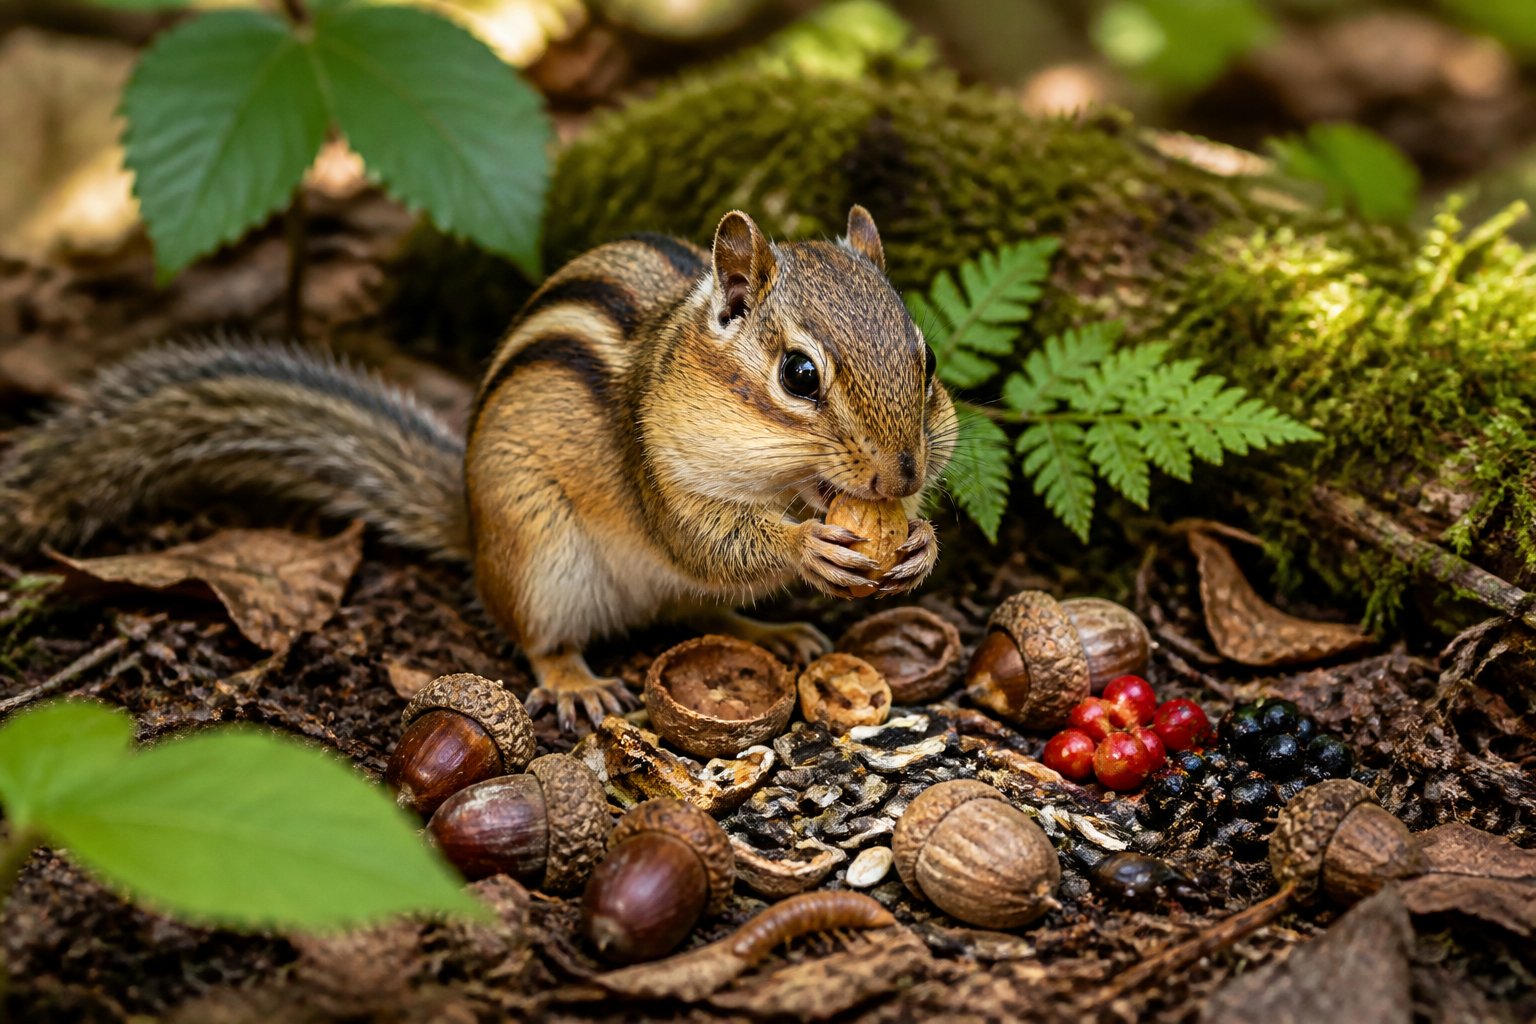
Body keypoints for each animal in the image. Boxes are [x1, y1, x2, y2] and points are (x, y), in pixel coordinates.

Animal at [0, 206, 957, 729]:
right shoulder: (657, 471)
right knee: (549, 633)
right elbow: (708, 540)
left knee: (692, 609)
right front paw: (810, 549)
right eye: (798, 375)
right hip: (536, 548)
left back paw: (775, 632)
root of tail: (469, 521)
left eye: (930, 360)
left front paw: (918, 546)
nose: (902, 475)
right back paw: (576, 682)